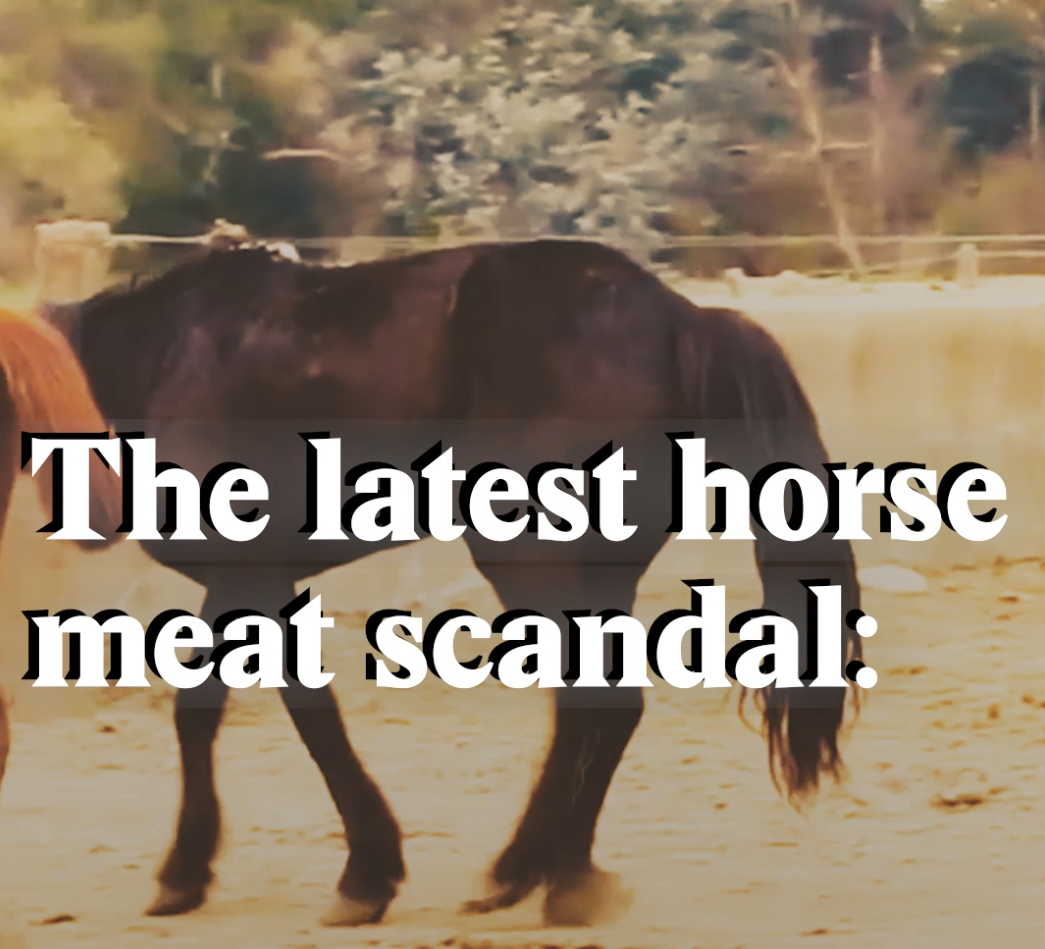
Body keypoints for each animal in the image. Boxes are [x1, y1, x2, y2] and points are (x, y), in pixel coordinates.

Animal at [41, 238, 864, 928]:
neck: (168, 356)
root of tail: (679, 318)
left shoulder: (248, 570)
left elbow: (248, 712)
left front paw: (311, 874)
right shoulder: (262, 581)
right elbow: (270, 708)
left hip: (526, 554)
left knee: (591, 704)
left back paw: (529, 873)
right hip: (599, 569)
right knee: (604, 711)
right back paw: (558, 875)